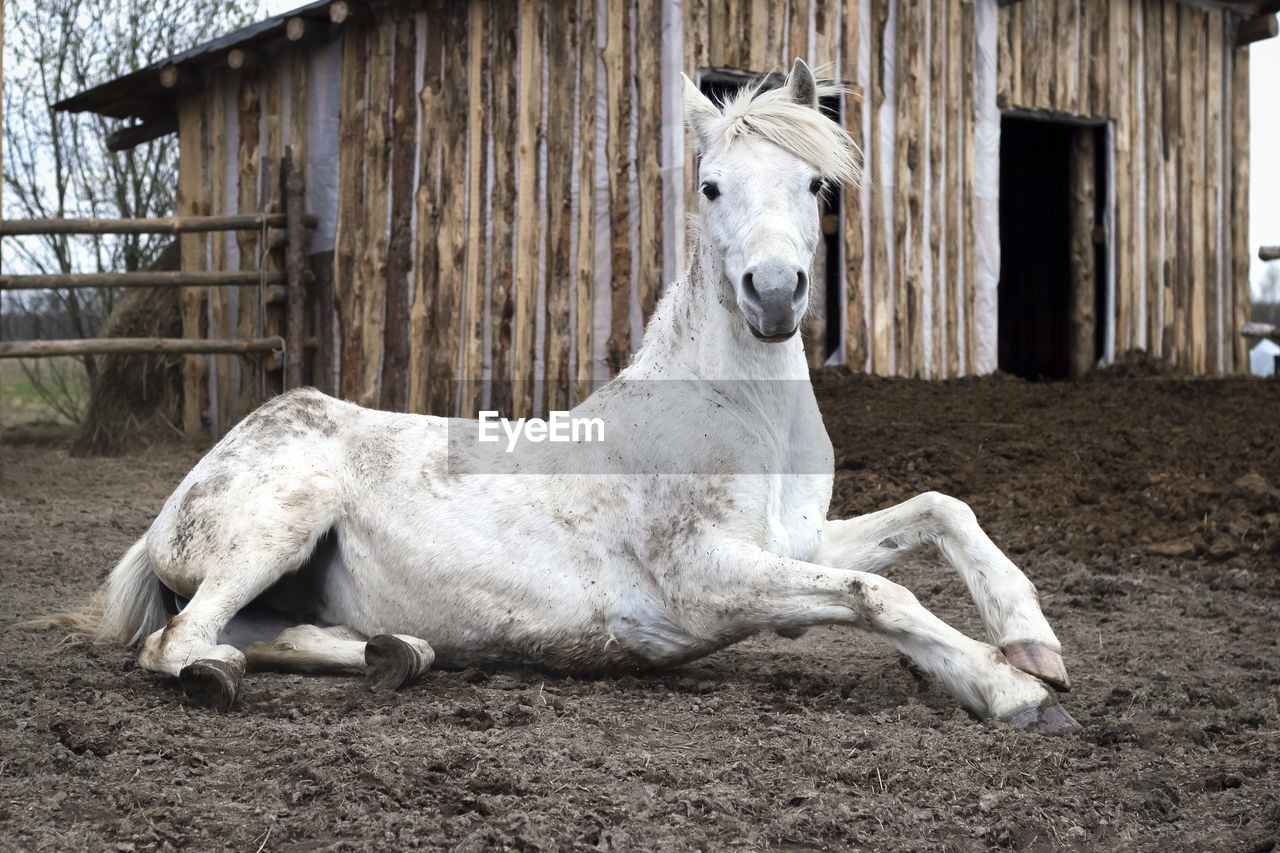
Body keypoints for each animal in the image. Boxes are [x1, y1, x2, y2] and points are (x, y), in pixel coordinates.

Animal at [57, 63, 1080, 732]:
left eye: (817, 184)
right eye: (711, 186)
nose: (775, 292)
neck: (738, 415)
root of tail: (188, 490)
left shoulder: (793, 546)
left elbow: (938, 511)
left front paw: (1034, 644)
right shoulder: (712, 578)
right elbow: (882, 593)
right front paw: (1014, 691)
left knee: (279, 631)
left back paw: (399, 653)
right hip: (278, 525)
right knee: (180, 640)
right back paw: (226, 674)